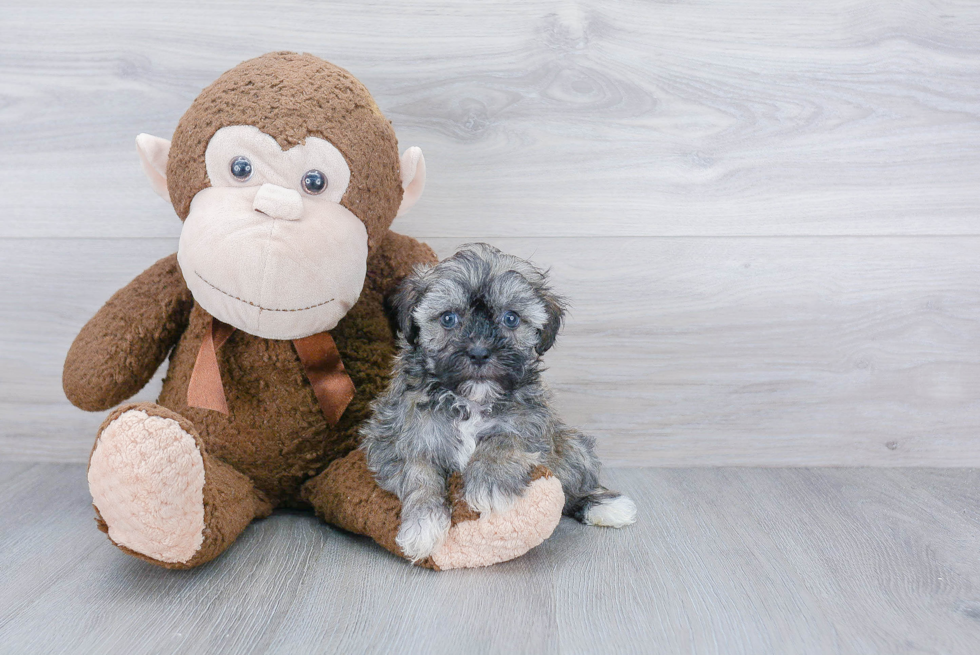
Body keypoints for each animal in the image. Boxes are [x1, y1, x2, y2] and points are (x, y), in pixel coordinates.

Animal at [360, 243, 636, 560]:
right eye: (448, 318)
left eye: (511, 318)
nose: (480, 352)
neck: (470, 400)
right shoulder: (397, 436)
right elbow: (419, 473)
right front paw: (423, 524)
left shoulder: (532, 424)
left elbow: (504, 440)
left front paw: (489, 484)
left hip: (570, 446)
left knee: (572, 483)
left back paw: (603, 505)